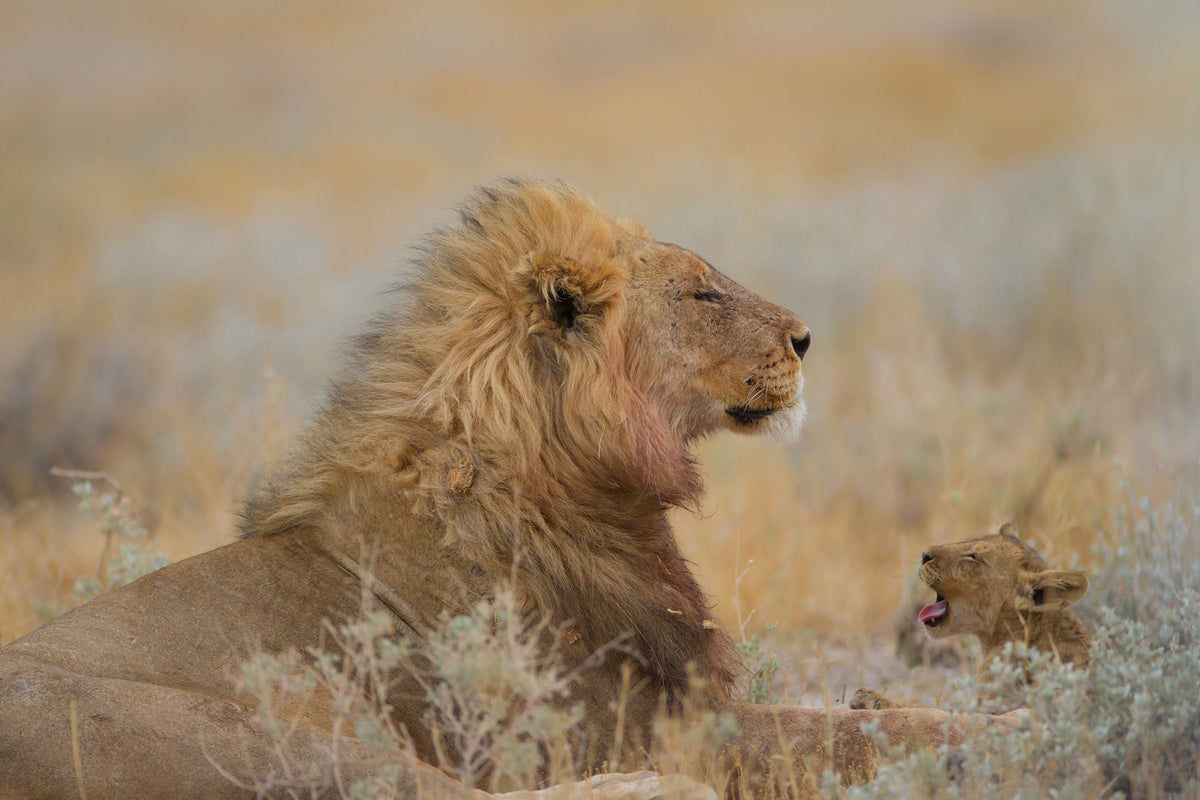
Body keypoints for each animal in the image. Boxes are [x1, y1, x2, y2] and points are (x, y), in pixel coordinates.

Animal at [0, 181, 955, 800]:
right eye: (699, 292)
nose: (806, 338)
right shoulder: (632, 719)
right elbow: (845, 735)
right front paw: (973, 731)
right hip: (287, 738)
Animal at [849, 525, 1094, 714]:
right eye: (965, 541)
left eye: (974, 557)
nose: (924, 555)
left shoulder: (985, 708)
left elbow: (929, 709)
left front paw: (872, 698)